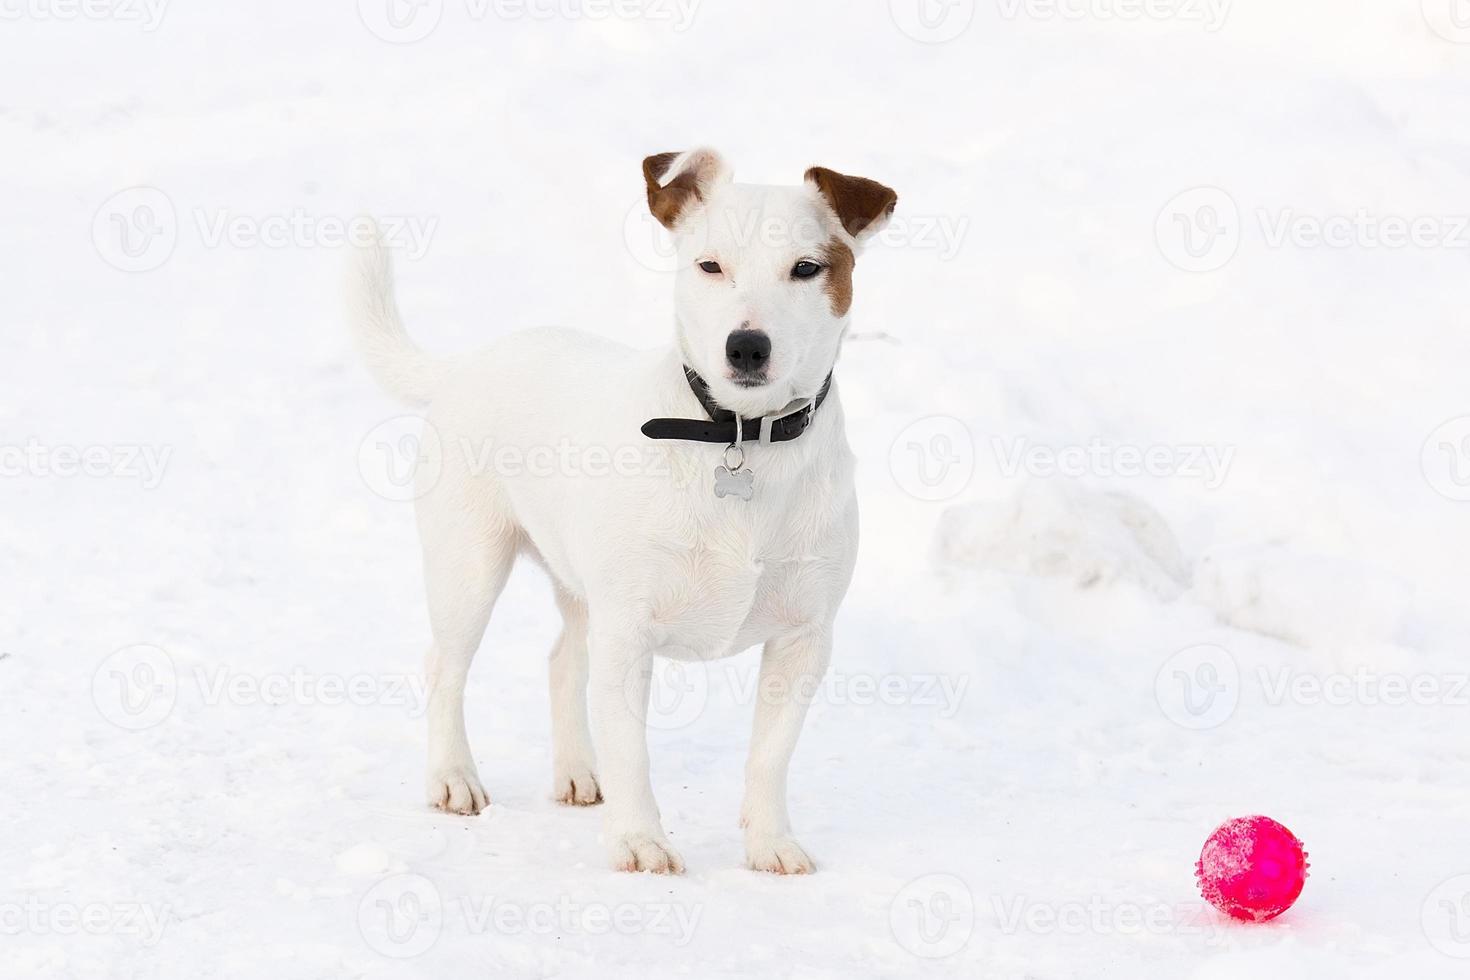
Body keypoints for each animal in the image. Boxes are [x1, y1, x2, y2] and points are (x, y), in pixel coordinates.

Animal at [348, 149, 893, 875]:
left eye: (807, 268)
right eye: (709, 265)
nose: (746, 346)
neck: (737, 436)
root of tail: (465, 364)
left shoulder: (803, 639)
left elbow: (769, 757)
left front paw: (770, 842)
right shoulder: (629, 633)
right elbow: (632, 752)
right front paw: (639, 841)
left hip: (582, 589)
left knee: (562, 662)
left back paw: (580, 771)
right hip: (469, 566)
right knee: (446, 666)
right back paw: (452, 777)